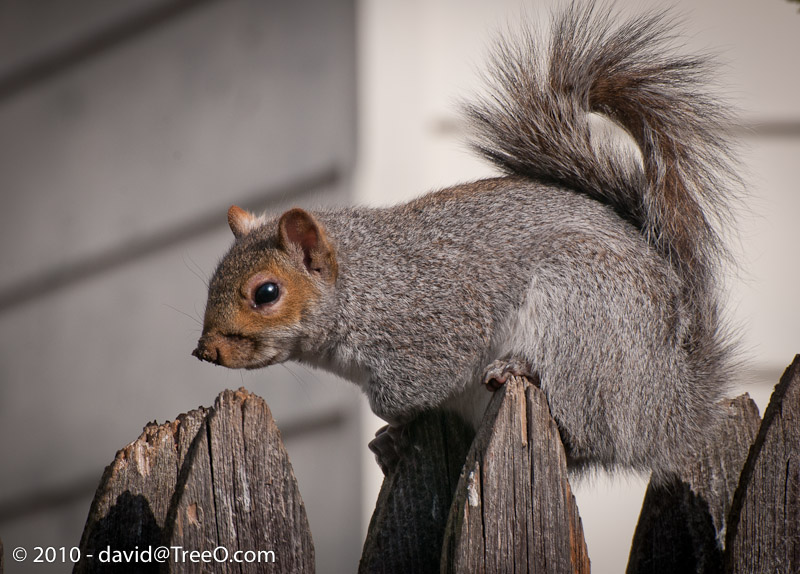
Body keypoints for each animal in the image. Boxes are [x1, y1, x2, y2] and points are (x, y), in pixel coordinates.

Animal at [192, 3, 741, 482]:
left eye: (266, 293)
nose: (205, 351)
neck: (365, 283)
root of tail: (671, 406)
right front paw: (388, 441)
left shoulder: (436, 322)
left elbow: (415, 385)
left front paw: (392, 418)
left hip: (584, 320)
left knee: (584, 429)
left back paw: (522, 368)